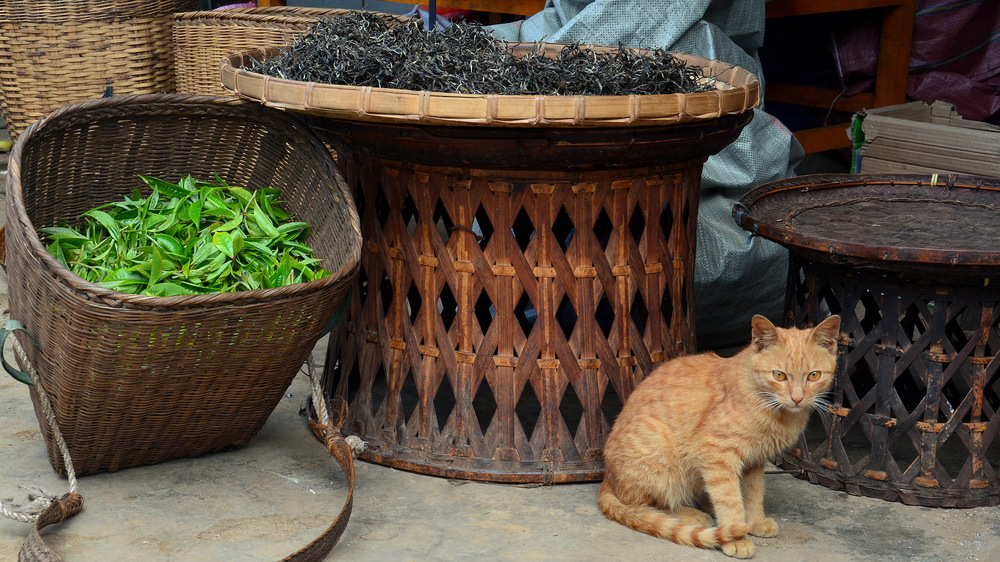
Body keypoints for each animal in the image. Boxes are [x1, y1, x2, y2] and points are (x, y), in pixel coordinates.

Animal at [596, 312, 840, 552]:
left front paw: (755, 521)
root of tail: (607, 477)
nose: (797, 398)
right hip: (658, 452)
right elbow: (729, 498)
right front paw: (736, 537)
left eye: (814, 375)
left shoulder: (754, 460)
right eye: (779, 375)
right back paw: (693, 515)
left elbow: (754, 493)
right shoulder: (717, 453)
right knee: (643, 506)